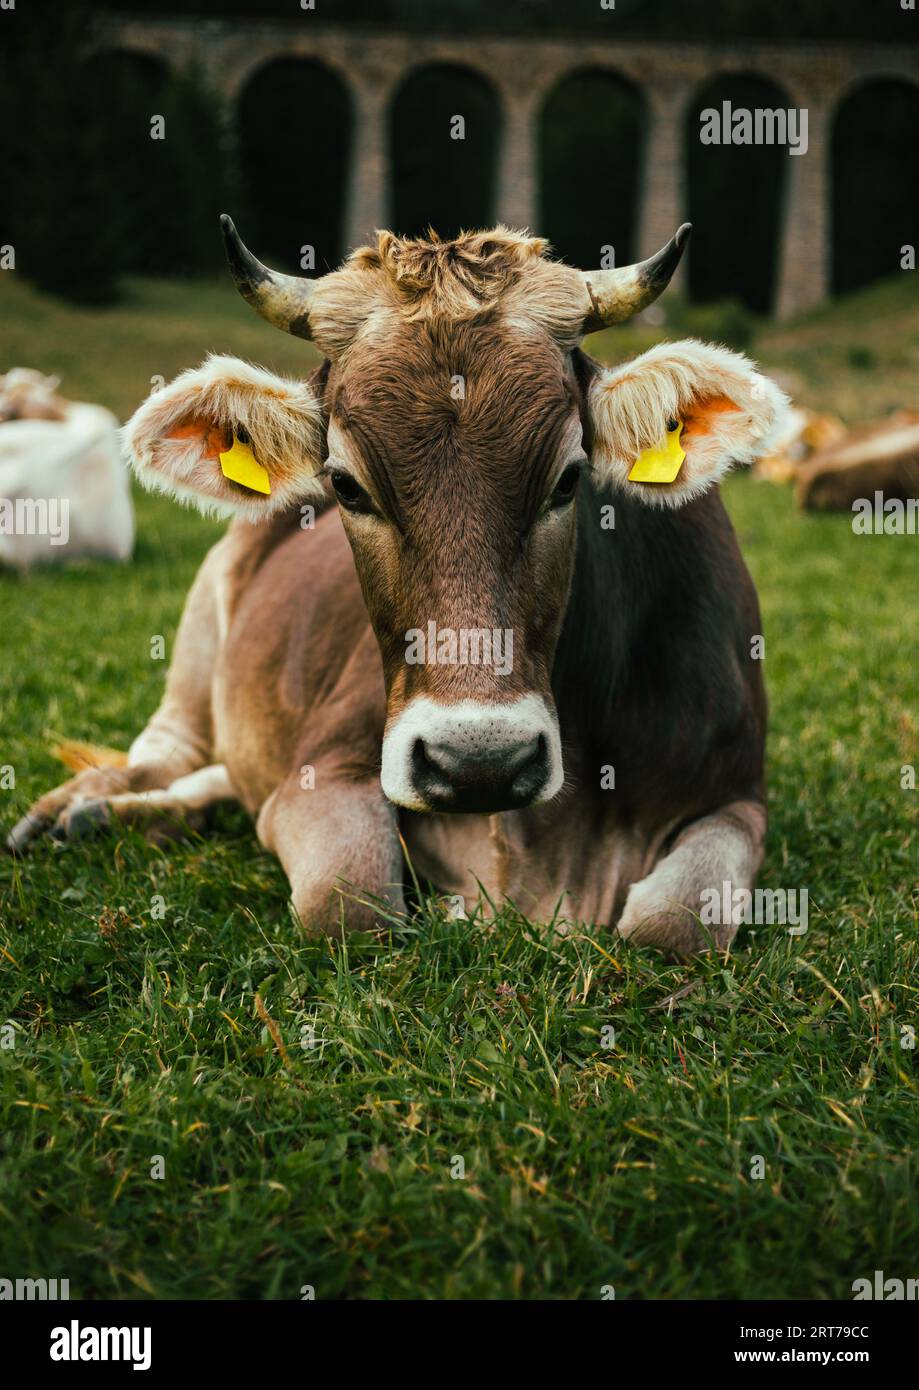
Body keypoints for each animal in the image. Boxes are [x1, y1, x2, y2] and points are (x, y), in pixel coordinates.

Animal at [5, 219, 789, 956]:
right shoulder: (322, 770)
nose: (479, 764)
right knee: (164, 752)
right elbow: (350, 904)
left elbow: (671, 926)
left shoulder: (739, 798)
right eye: (346, 485)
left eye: (569, 479)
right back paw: (80, 807)